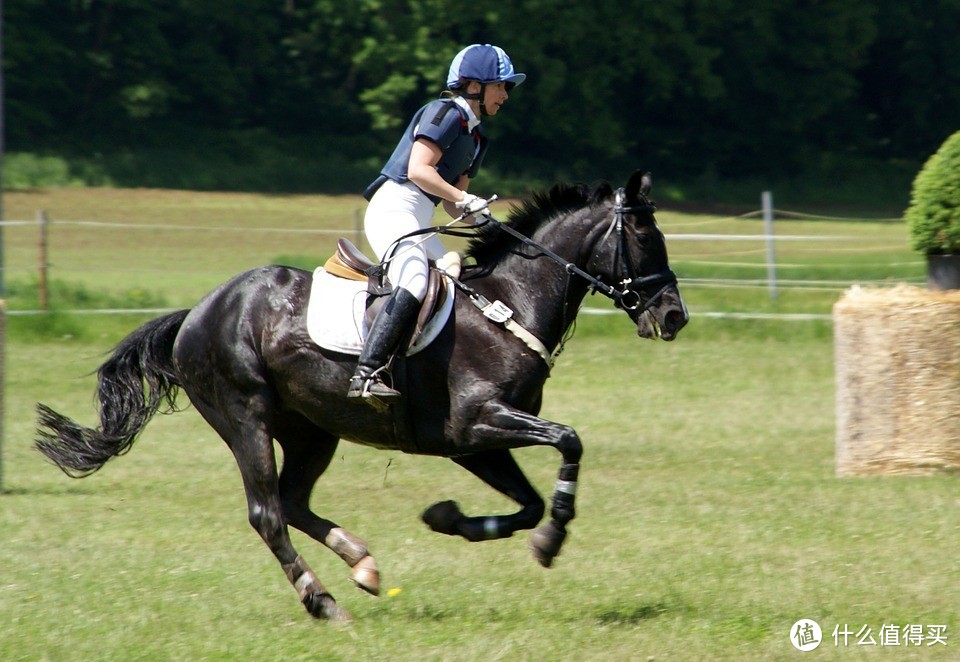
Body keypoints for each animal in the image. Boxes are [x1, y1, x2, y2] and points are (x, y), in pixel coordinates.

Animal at [33, 170, 688, 624]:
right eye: (644, 234)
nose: (674, 316)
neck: (509, 304)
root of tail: (196, 311)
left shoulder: (475, 444)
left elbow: (526, 502)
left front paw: (451, 519)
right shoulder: (477, 424)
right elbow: (569, 442)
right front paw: (551, 541)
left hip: (311, 429)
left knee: (293, 502)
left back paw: (362, 564)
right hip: (244, 414)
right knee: (267, 512)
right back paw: (324, 603)